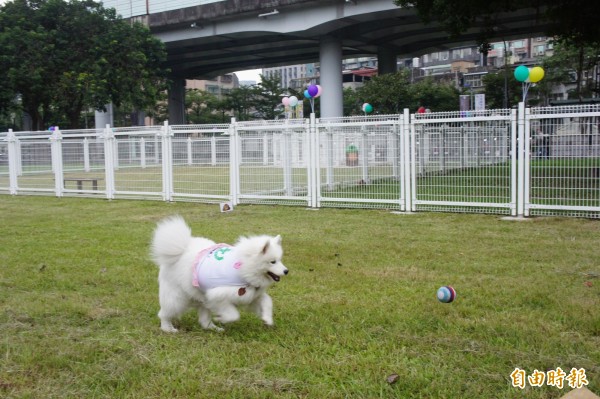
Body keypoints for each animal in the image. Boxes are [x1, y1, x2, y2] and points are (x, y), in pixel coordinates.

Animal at [151, 217, 290, 332]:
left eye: (280, 260)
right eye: (272, 262)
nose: (286, 271)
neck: (244, 268)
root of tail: (181, 250)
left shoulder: (253, 296)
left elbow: (268, 302)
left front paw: (267, 319)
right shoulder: (218, 296)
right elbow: (234, 315)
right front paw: (221, 318)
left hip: (201, 297)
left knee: (204, 320)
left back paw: (213, 328)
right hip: (177, 298)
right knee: (164, 313)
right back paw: (168, 328)